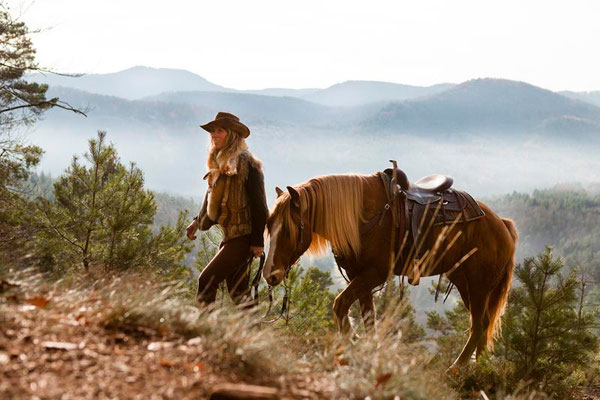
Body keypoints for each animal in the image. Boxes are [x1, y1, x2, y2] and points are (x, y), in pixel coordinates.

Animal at [264, 172, 520, 366]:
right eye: (269, 226)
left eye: (287, 230)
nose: (269, 275)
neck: (361, 216)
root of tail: (502, 224)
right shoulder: (360, 277)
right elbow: (367, 318)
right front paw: (366, 349)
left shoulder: (374, 274)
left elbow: (340, 305)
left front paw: (352, 341)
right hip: (465, 282)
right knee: (484, 323)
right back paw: (479, 369)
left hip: (479, 286)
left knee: (478, 325)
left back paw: (458, 368)